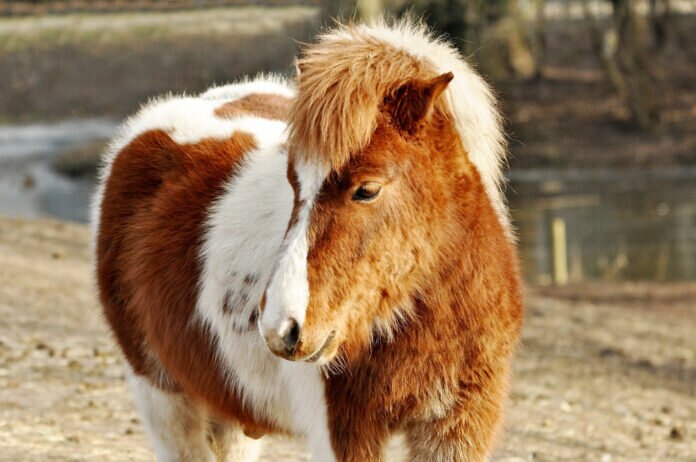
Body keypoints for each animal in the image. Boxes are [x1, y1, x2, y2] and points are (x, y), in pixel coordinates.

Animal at [93, 19, 523, 462]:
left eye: (367, 189)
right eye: (293, 182)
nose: (281, 328)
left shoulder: (458, 426)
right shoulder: (343, 431)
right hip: (163, 397)